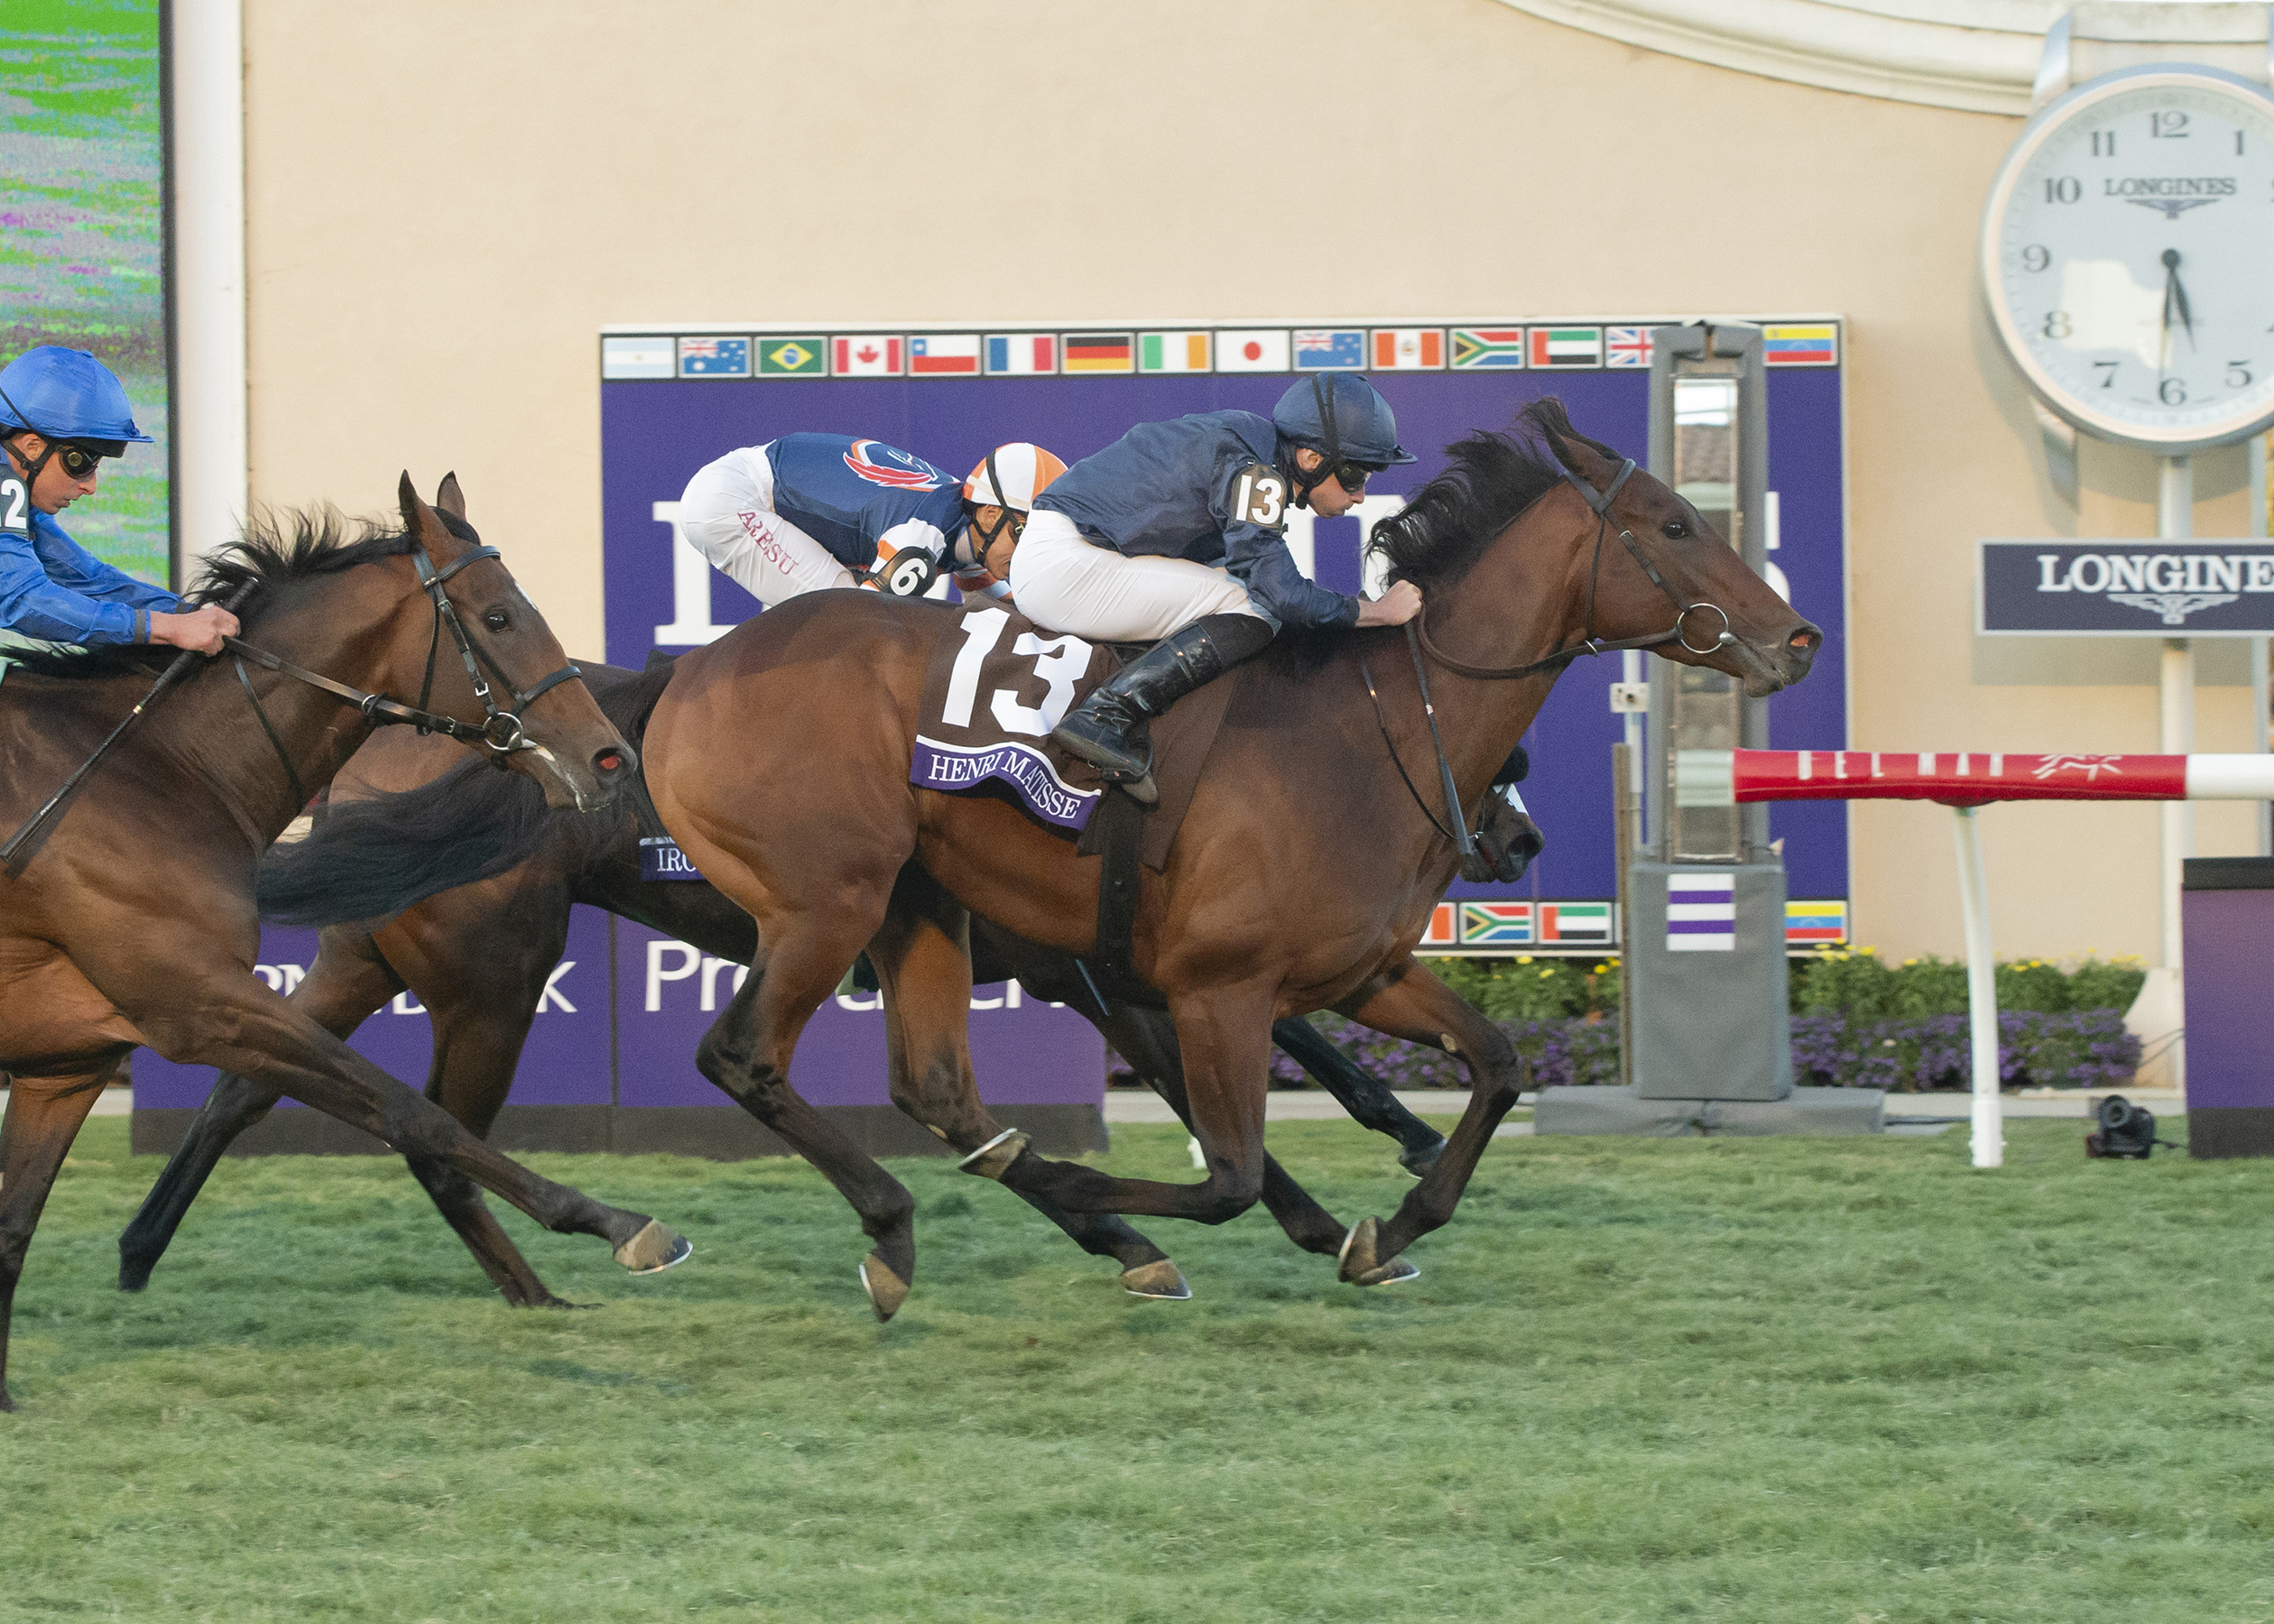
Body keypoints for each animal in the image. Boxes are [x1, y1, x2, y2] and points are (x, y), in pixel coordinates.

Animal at [2, 477, 691, 1400]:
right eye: (500, 615)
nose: (612, 757)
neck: (160, 770)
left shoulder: (67, 1062)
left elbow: (14, 1226)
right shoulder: (196, 1002)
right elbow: (411, 1112)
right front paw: (622, 1225)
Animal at [119, 660, 1510, 1301]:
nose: (1517, 835)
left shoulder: (1098, 964)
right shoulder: (1108, 974)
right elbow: (1238, 1097)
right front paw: (1332, 1209)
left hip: (374, 954)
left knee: (258, 1084)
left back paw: (139, 1246)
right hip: (493, 978)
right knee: (426, 1123)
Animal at [645, 395, 1828, 1319]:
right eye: (1676, 522)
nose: (1801, 638)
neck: (1374, 728)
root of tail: (691, 679)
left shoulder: (1362, 970)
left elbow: (1496, 1064)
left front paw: (1393, 1226)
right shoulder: (1212, 987)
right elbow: (1231, 1174)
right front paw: (1092, 1186)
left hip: (917, 908)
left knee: (933, 1087)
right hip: (825, 903)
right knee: (740, 1056)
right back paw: (906, 1220)